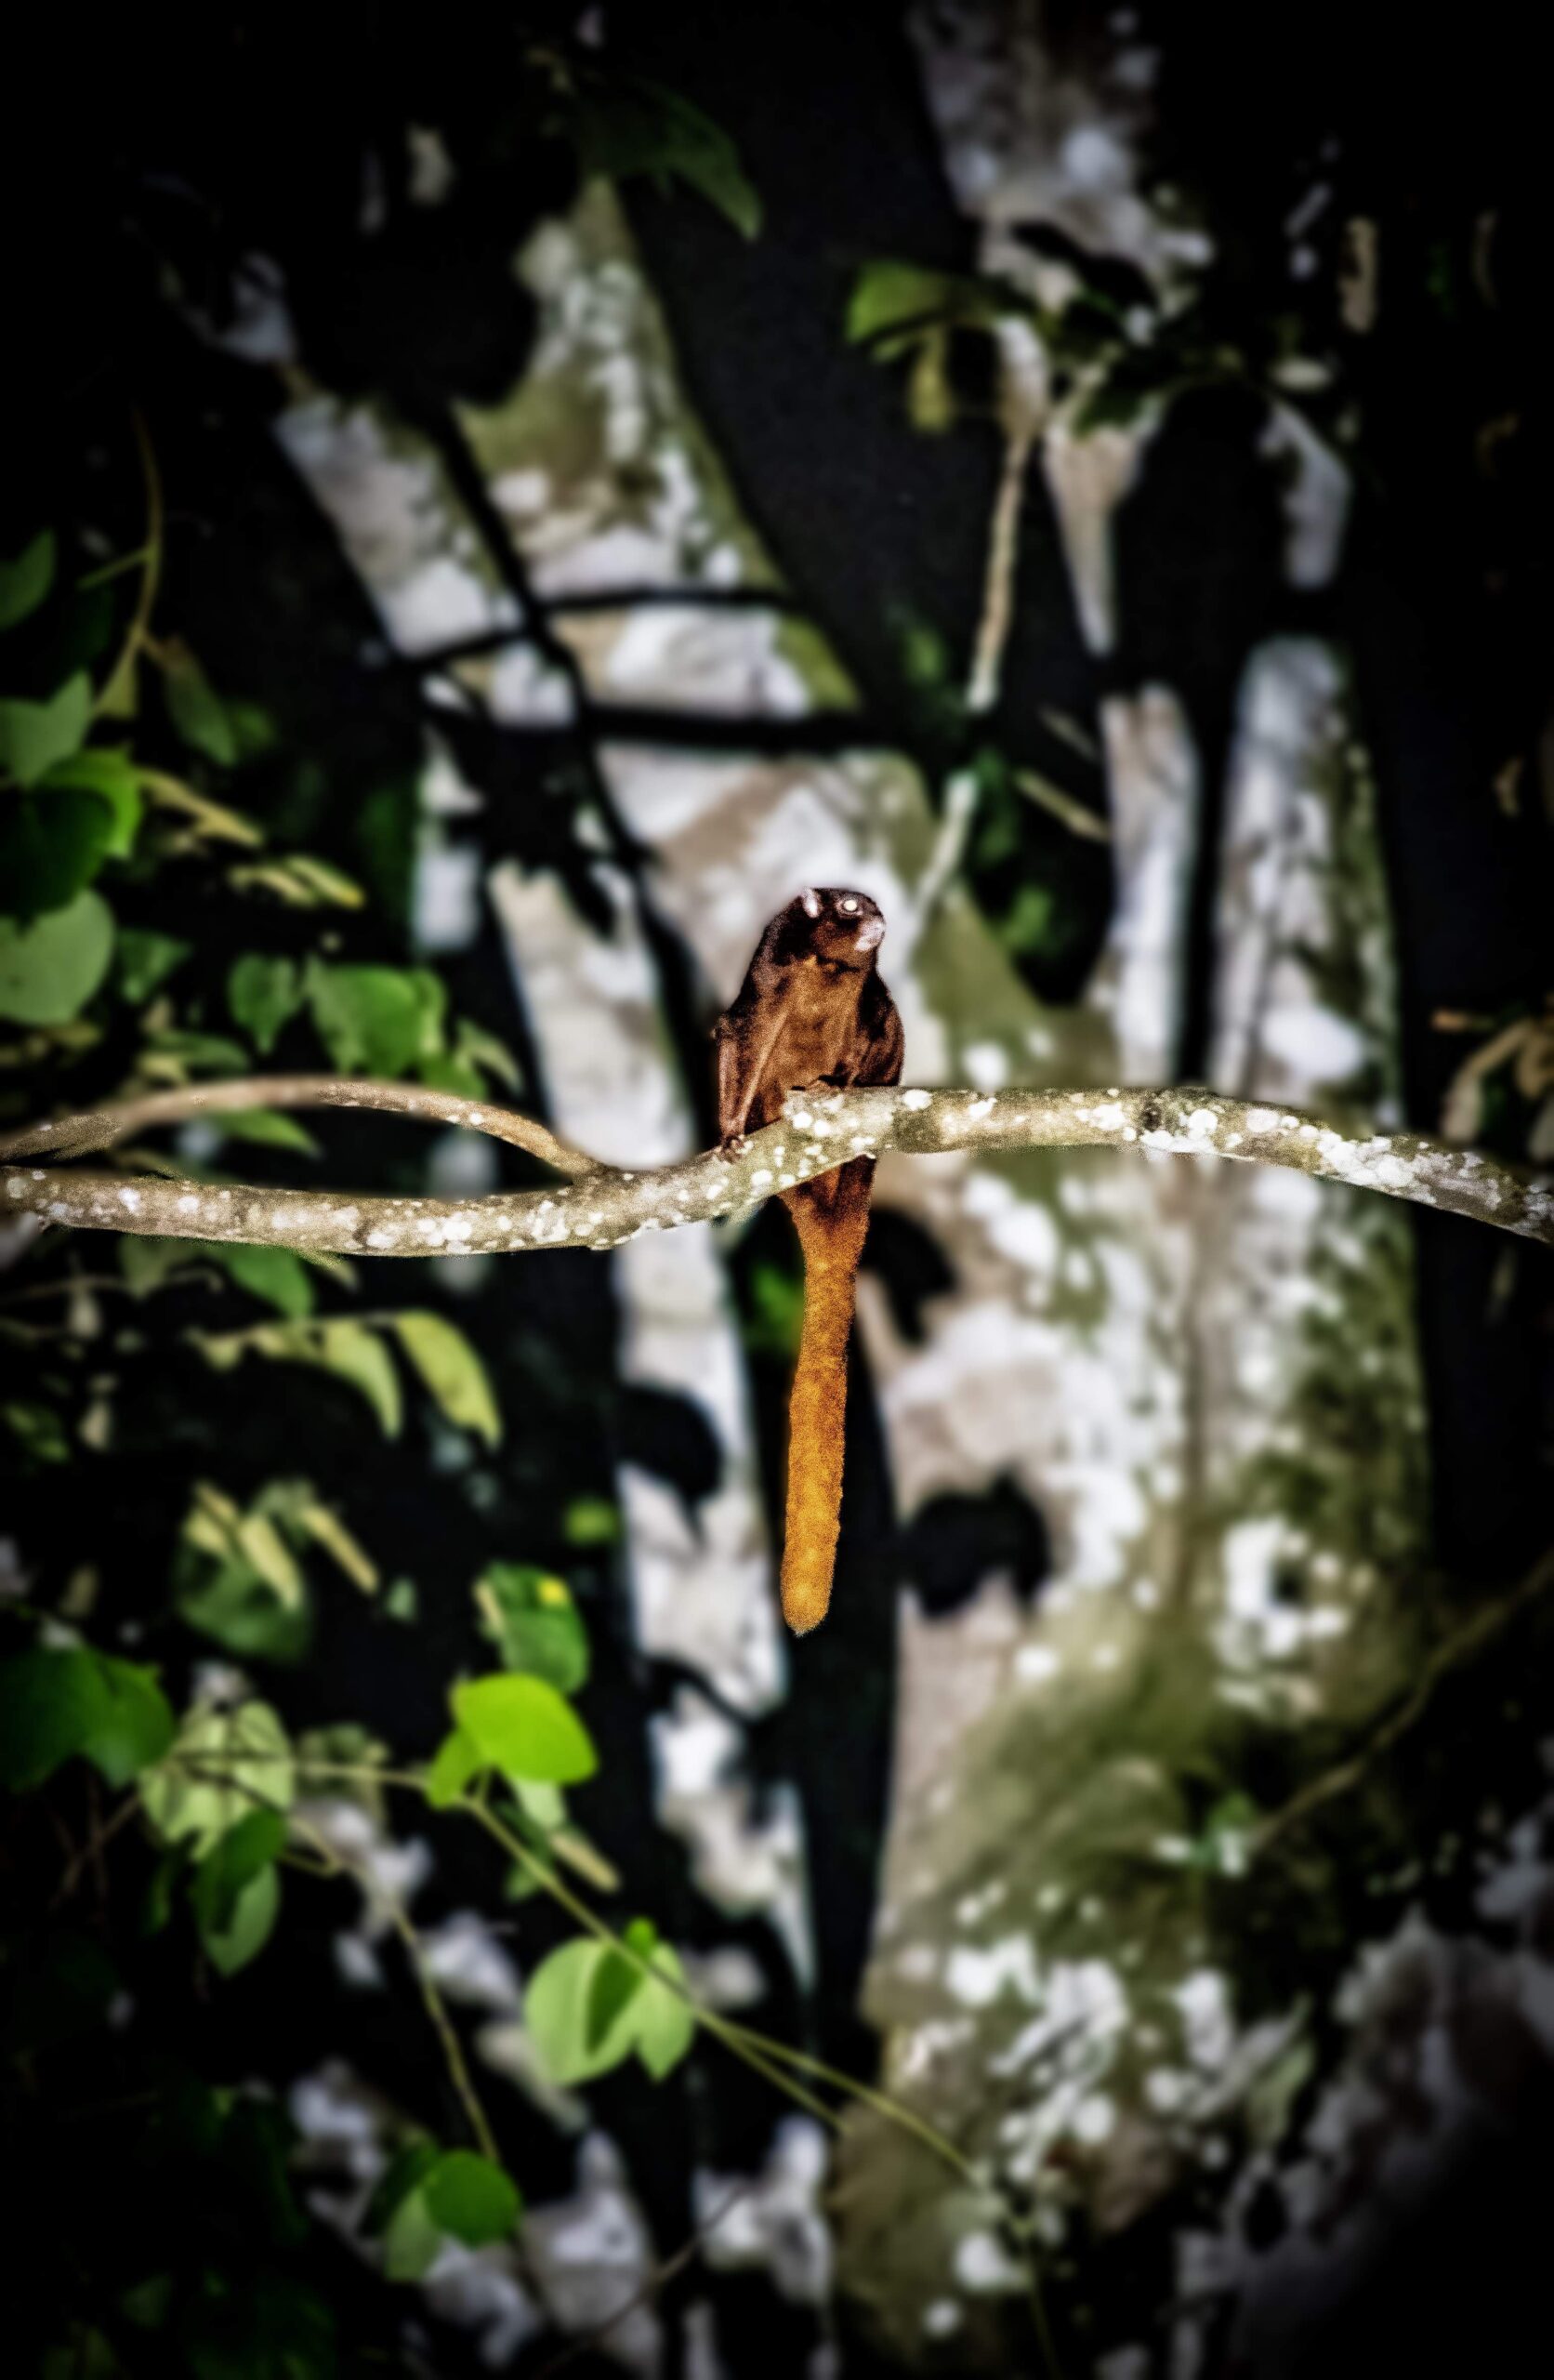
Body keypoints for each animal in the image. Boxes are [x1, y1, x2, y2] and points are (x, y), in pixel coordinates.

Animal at [714, 887, 904, 1634]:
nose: (878, 919)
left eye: (872, 908)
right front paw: (732, 1132)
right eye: (850, 907)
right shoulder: (773, 970)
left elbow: (882, 1025)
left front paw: (838, 1085)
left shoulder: (869, 999)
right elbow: (740, 1033)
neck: (827, 970)